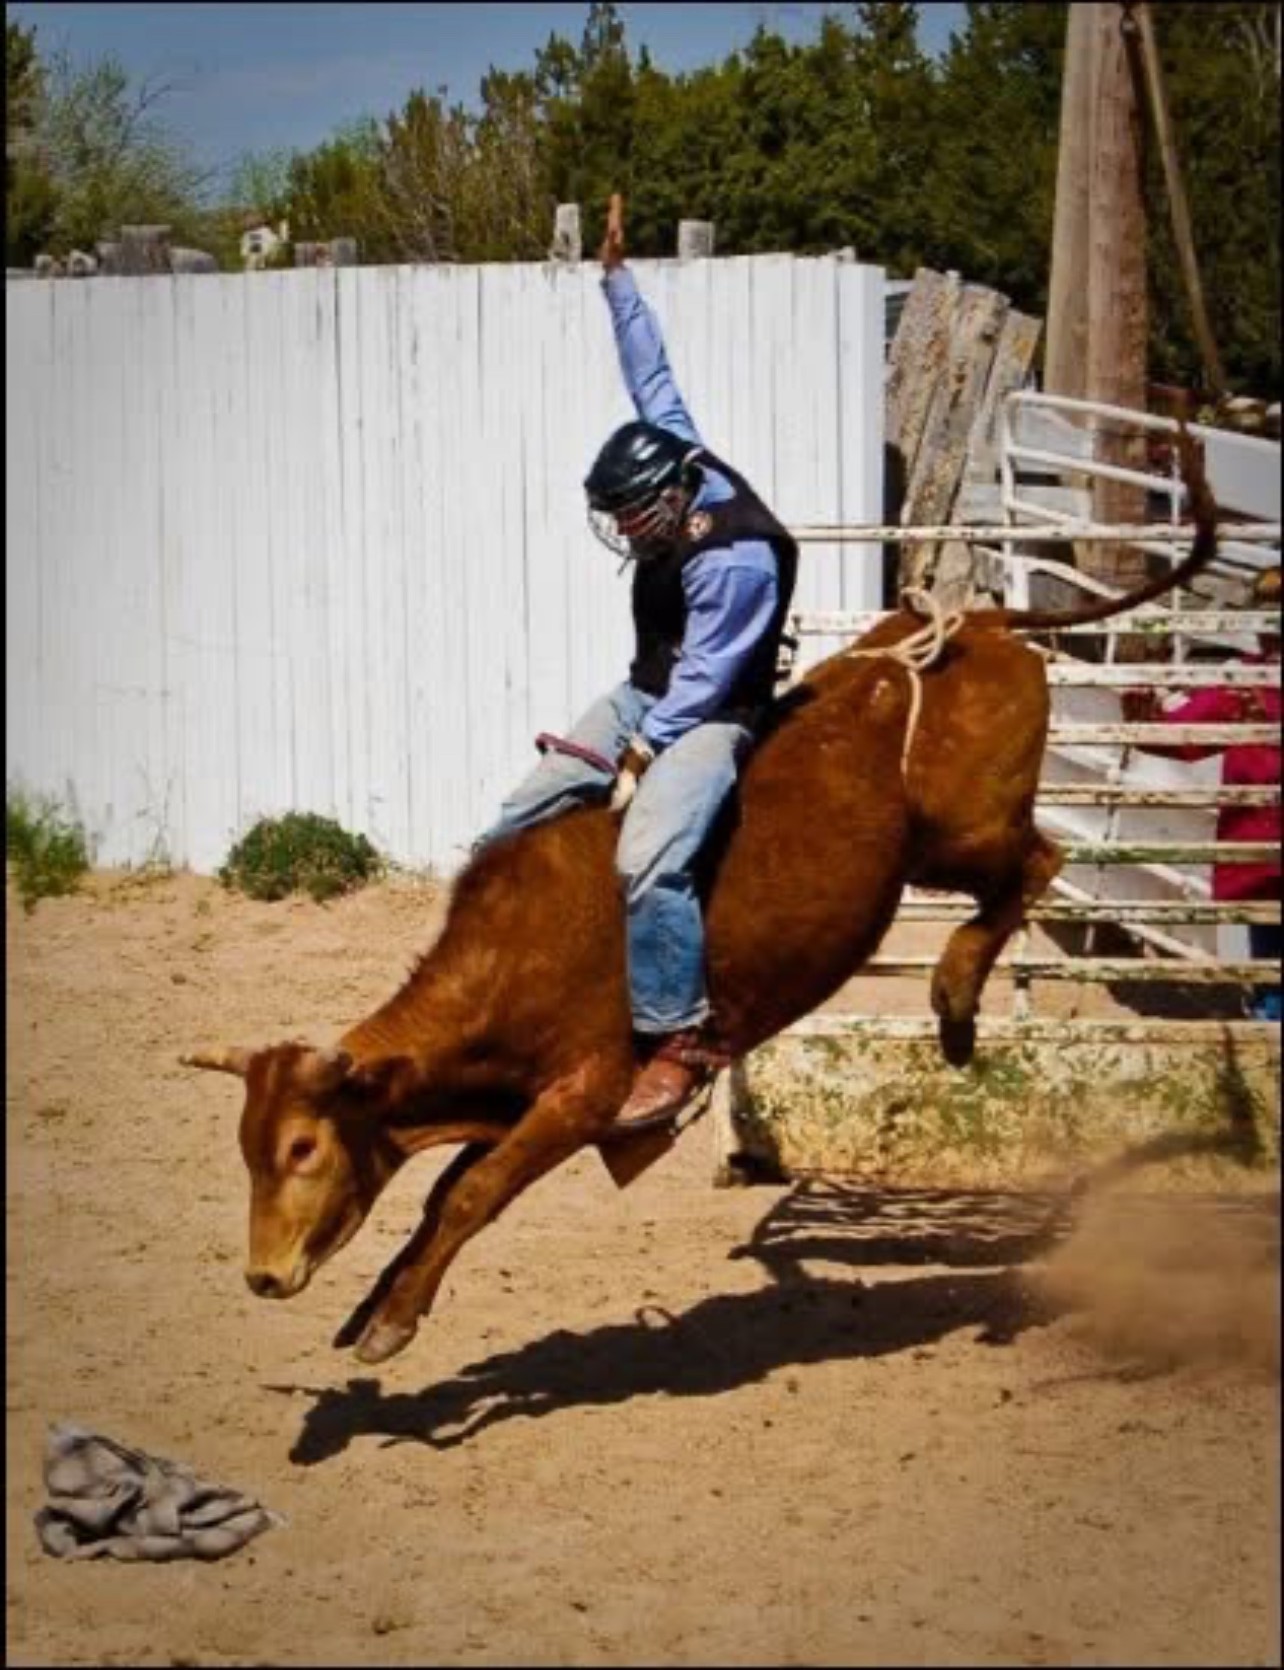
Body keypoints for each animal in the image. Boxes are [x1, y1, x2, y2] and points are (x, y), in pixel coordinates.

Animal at [182, 430, 1219, 1367]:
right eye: (246, 1147)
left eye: (304, 1149)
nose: (263, 1276)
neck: (512, 955)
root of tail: (979, 628)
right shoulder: (514, 1104)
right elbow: (444, 1196)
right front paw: (376, 1308)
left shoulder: (582, 1094)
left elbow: (471, 1195)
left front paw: (391, 1322)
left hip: (966, 833)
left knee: (1038, 862)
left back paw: (957, 1002)